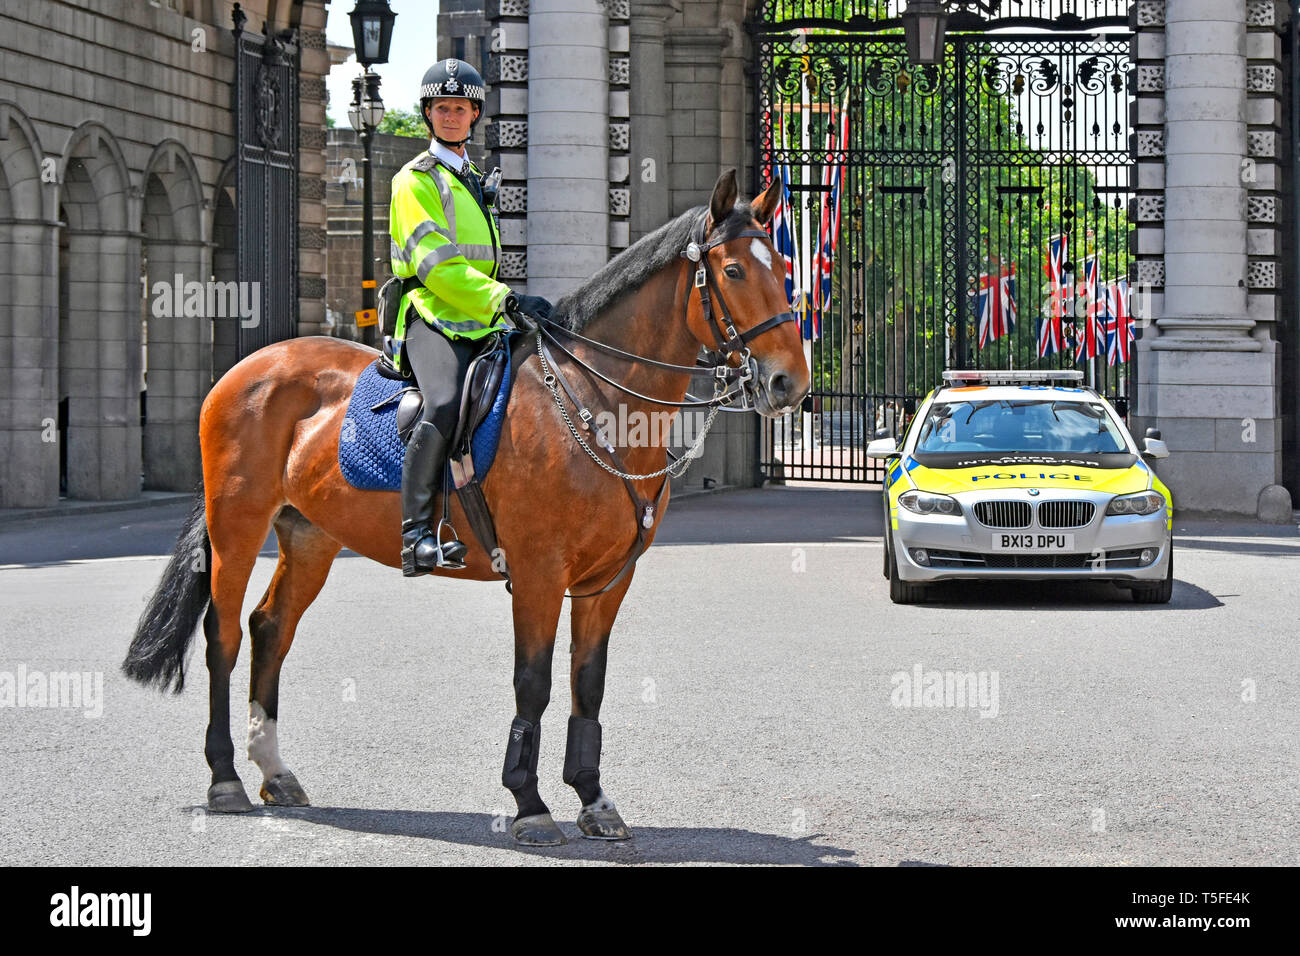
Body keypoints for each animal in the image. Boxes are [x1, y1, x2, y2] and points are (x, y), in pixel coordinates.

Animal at [121, 168, 810, 846]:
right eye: (733, 271)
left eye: (782, 266)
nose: (790, 384)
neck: (593, 399)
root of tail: (252, 364)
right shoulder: (538, 573)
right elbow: (533, 683)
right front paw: (530, 804)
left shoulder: (607, 581)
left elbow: (588, 683)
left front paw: (593, 798)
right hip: (236, 526)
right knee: (224, 635)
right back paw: (225, 778)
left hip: (312, 536)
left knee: (271, 628)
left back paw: (275, 772)